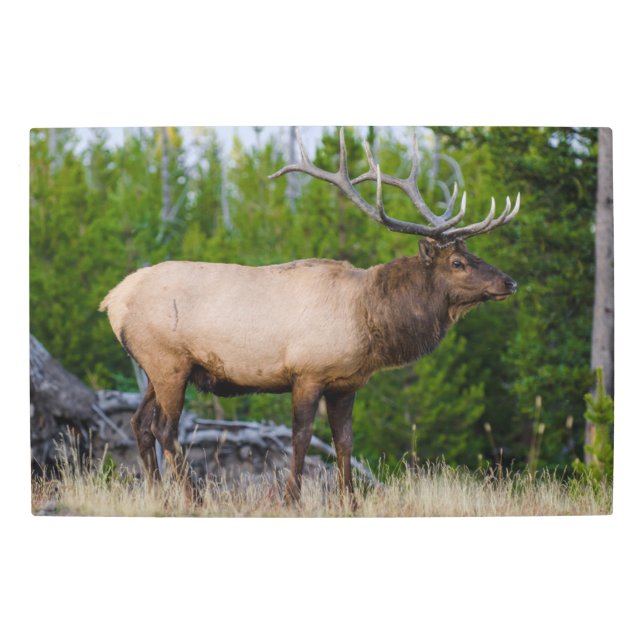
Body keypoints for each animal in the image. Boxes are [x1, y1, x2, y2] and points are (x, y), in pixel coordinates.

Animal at [99, 127, 520, 505]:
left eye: (473, 255)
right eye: (457, 262)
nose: (510, 281)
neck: (369, 318)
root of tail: (112, 300)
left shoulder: (346, 383)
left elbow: (344, 441)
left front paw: (350, 503)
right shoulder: (307, 372)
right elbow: (301, 439)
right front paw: (291, 500)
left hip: (156, 366)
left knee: (139, 423)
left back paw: (158, 496)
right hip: (169, 361)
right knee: (165, 428)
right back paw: (194, 498)